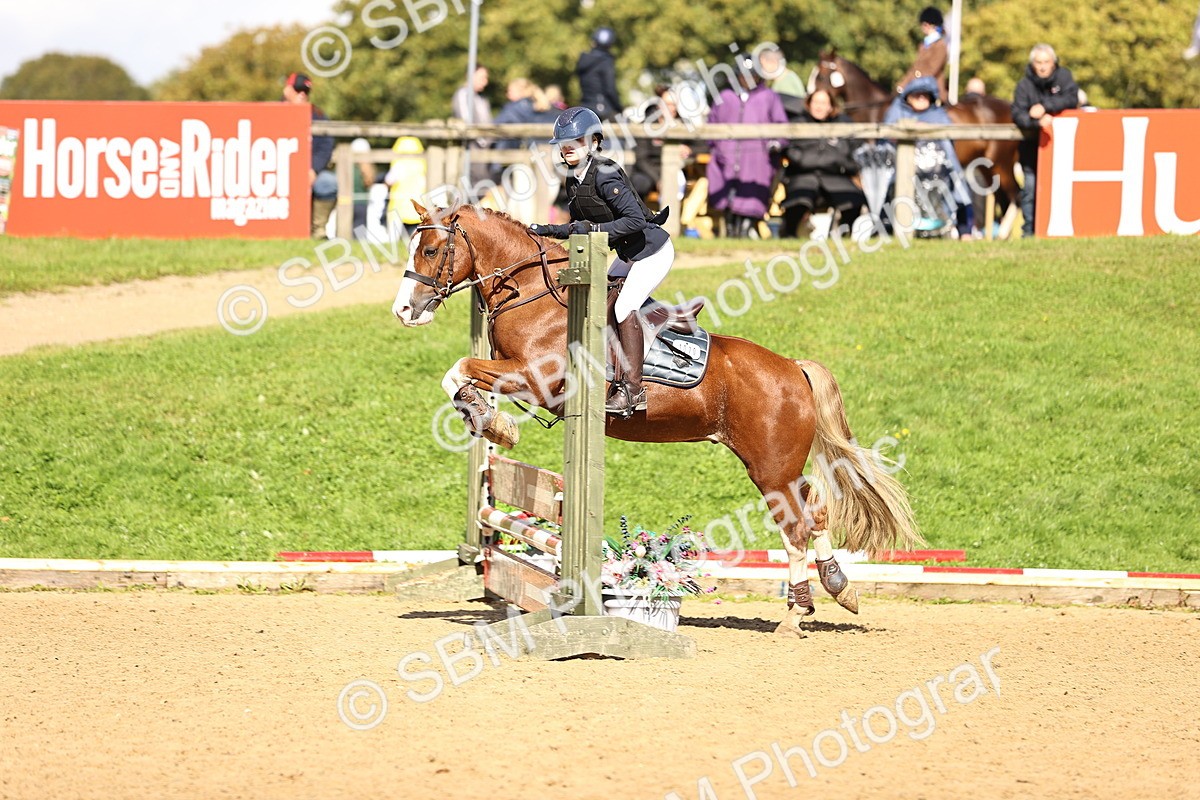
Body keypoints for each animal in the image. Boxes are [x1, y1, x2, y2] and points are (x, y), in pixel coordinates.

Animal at [391, 202, 922, 637]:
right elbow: (460, 376)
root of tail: (794, 368)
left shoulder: (535, 379)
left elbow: (460, 367)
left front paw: (494, 424)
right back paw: (839, 587)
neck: (535, 294)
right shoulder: (512, 371)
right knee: (816, 510)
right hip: (781, 466)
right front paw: (489, 420)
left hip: (771, 468)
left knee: (795, 527)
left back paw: (794, 617)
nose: (404, 311)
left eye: (432, 249)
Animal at [809, 50, 1020, 222]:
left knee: (1015, 196)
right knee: (1004, 199)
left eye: (822, 76)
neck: (873, 113)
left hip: (1002, 164)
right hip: (988, 167)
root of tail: (1008, 107)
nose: (811, 100)